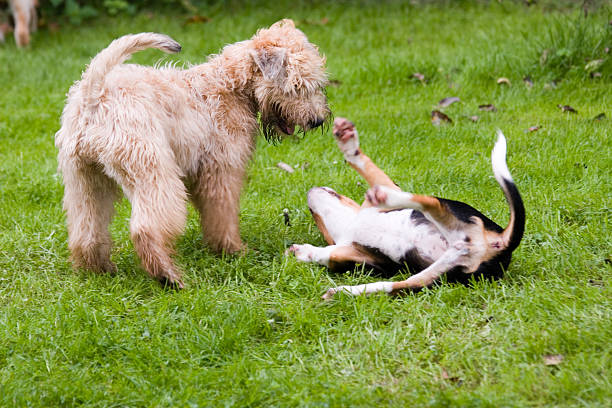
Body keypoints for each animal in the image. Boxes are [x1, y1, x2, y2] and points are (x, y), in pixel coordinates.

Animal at [56, 19, 330, 286]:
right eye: (297, 85)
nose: (317, 120)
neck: (232, 84)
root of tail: (93, 96)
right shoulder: (222, 171)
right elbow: (222, 216)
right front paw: (232, 250)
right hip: (153, 173)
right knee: (146, 228)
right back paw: (168, 276)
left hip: (86, 181)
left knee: (86, 229)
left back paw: (98, 269)